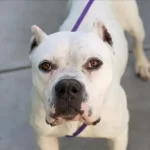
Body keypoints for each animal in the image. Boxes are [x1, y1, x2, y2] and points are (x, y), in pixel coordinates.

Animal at [29, 0, 150, 150]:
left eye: (94, 63)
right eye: (45, 66)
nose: (67, 86)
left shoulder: (118, 136)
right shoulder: (45, 138)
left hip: (135, 24)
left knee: (137, 42)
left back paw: (142, 64)